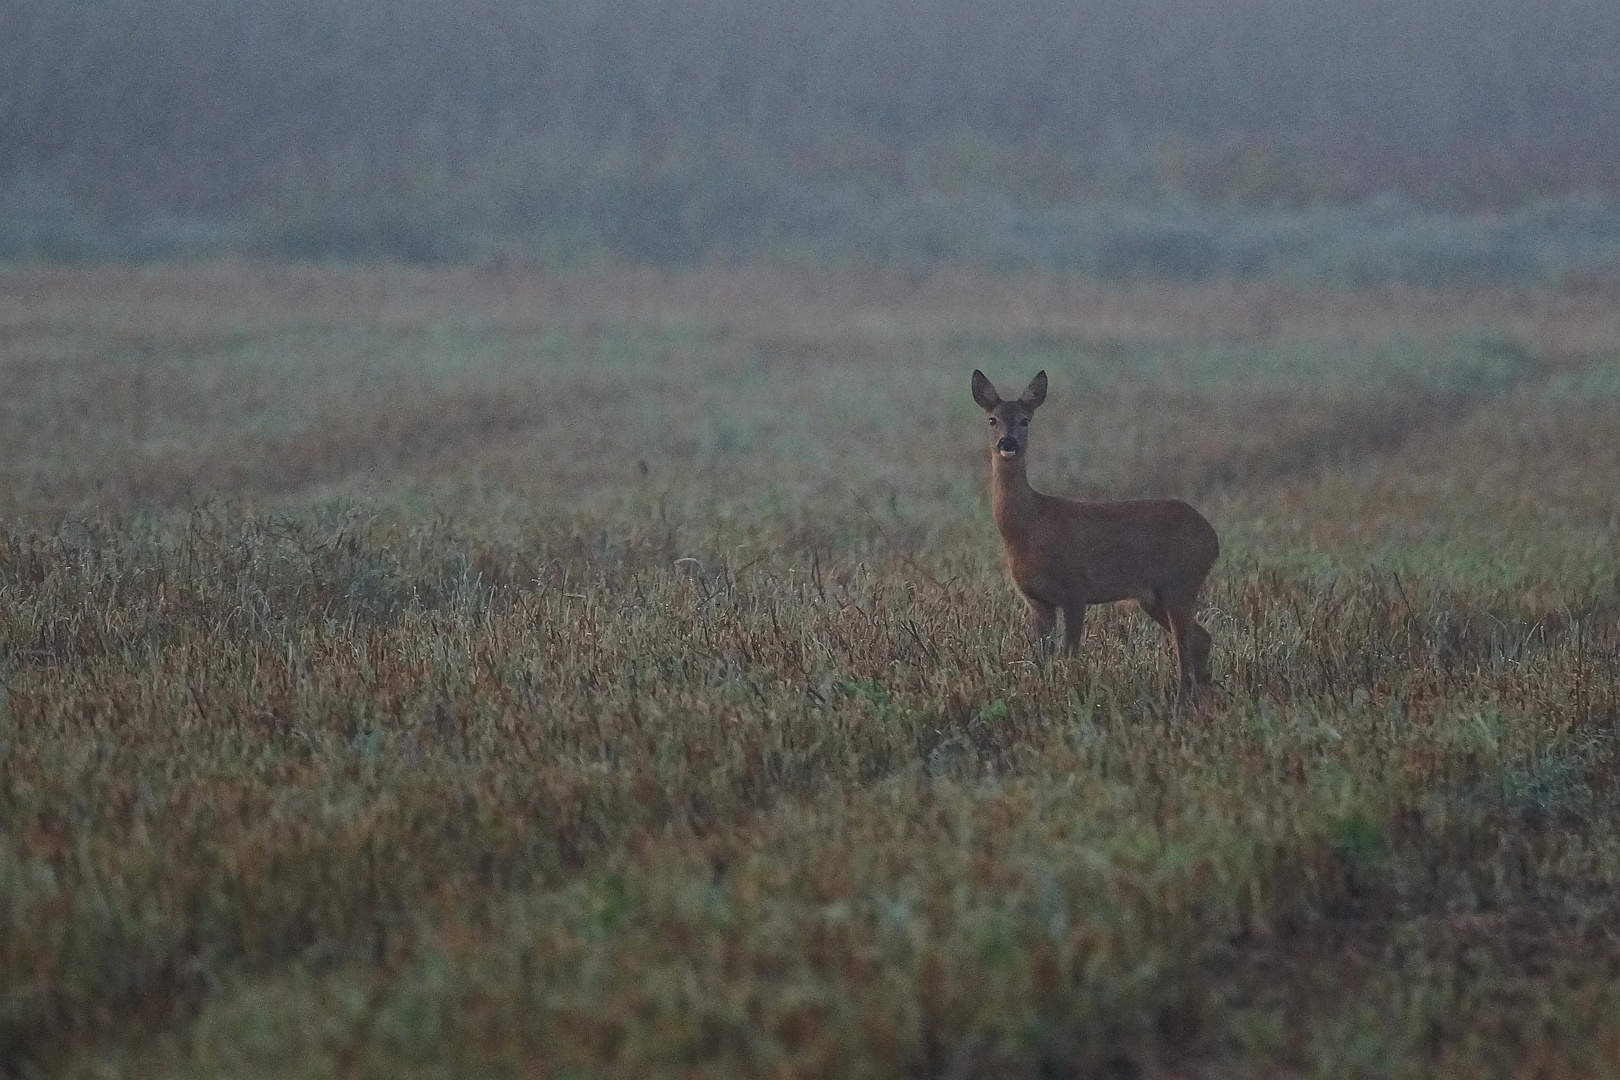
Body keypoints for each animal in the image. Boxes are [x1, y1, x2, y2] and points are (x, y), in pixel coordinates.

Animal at [965, 372, 1218, 689]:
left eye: (1025, 420)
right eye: (992, 419)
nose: (1007, 442)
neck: (1030, 526)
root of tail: (1213, 538)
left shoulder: (1076, 589)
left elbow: (1070, 654)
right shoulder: (1038, 601)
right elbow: (1040, 658)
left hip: (1180, 582)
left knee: (1185, 651)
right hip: (1155, 596)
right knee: (1201, 639)